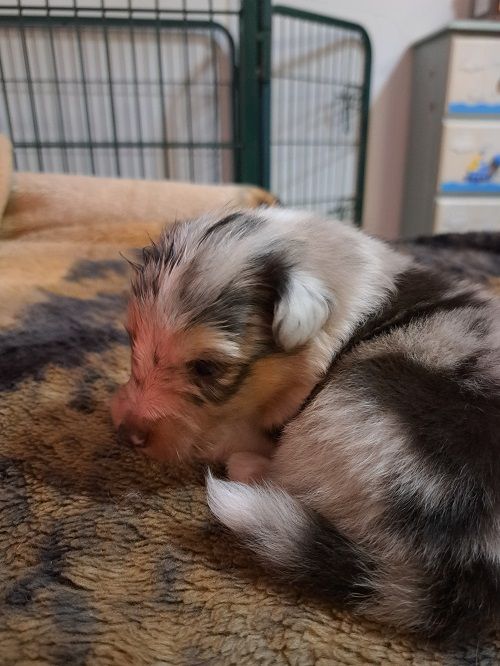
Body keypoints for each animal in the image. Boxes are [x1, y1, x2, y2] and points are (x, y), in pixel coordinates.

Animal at [112, 208, 500, 641]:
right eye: (131, 339)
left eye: (206, 368)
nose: (126, 434)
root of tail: (470, 568)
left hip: (343, 409)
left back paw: (246, 467)